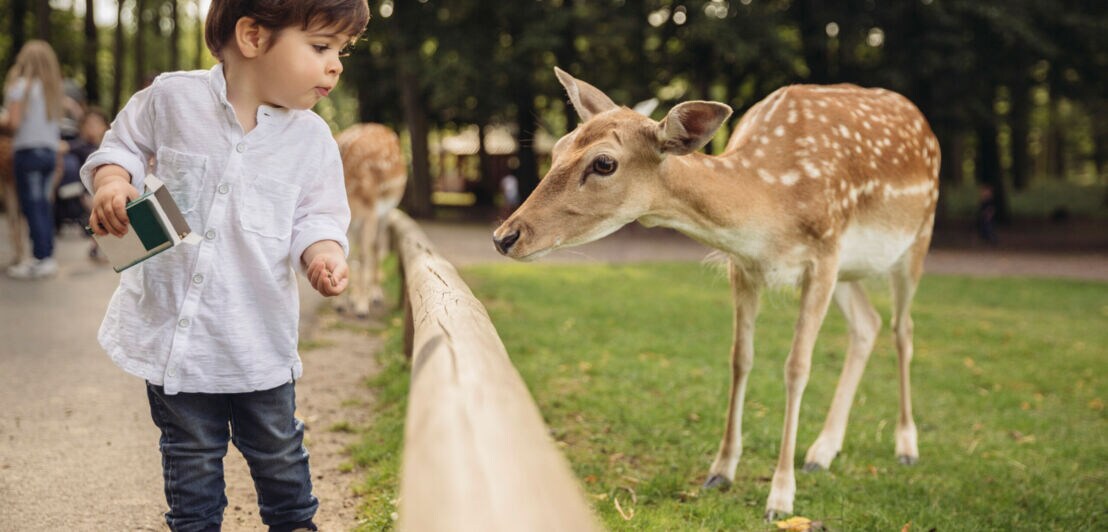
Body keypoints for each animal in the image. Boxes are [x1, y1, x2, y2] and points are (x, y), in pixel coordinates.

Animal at [335, 123, 408, 318]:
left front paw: (362, 308)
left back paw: (374, 295)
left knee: (375, 246)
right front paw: (341, 304)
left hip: (386, 210)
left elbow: (363, 253)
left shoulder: (369, 213)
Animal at [492, 68, 939, 519]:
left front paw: (780, 496)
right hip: (851, 272)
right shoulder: (743, 267)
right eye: (559, 148)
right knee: (868, 324)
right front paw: (721, 471)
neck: (769, 209)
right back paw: (821, 452)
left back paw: (906, 445)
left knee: (903, 329)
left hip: (916, 238)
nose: (504, 236)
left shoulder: (824, 257)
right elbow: (740, 359)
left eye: (604, 162)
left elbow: (797, 368)